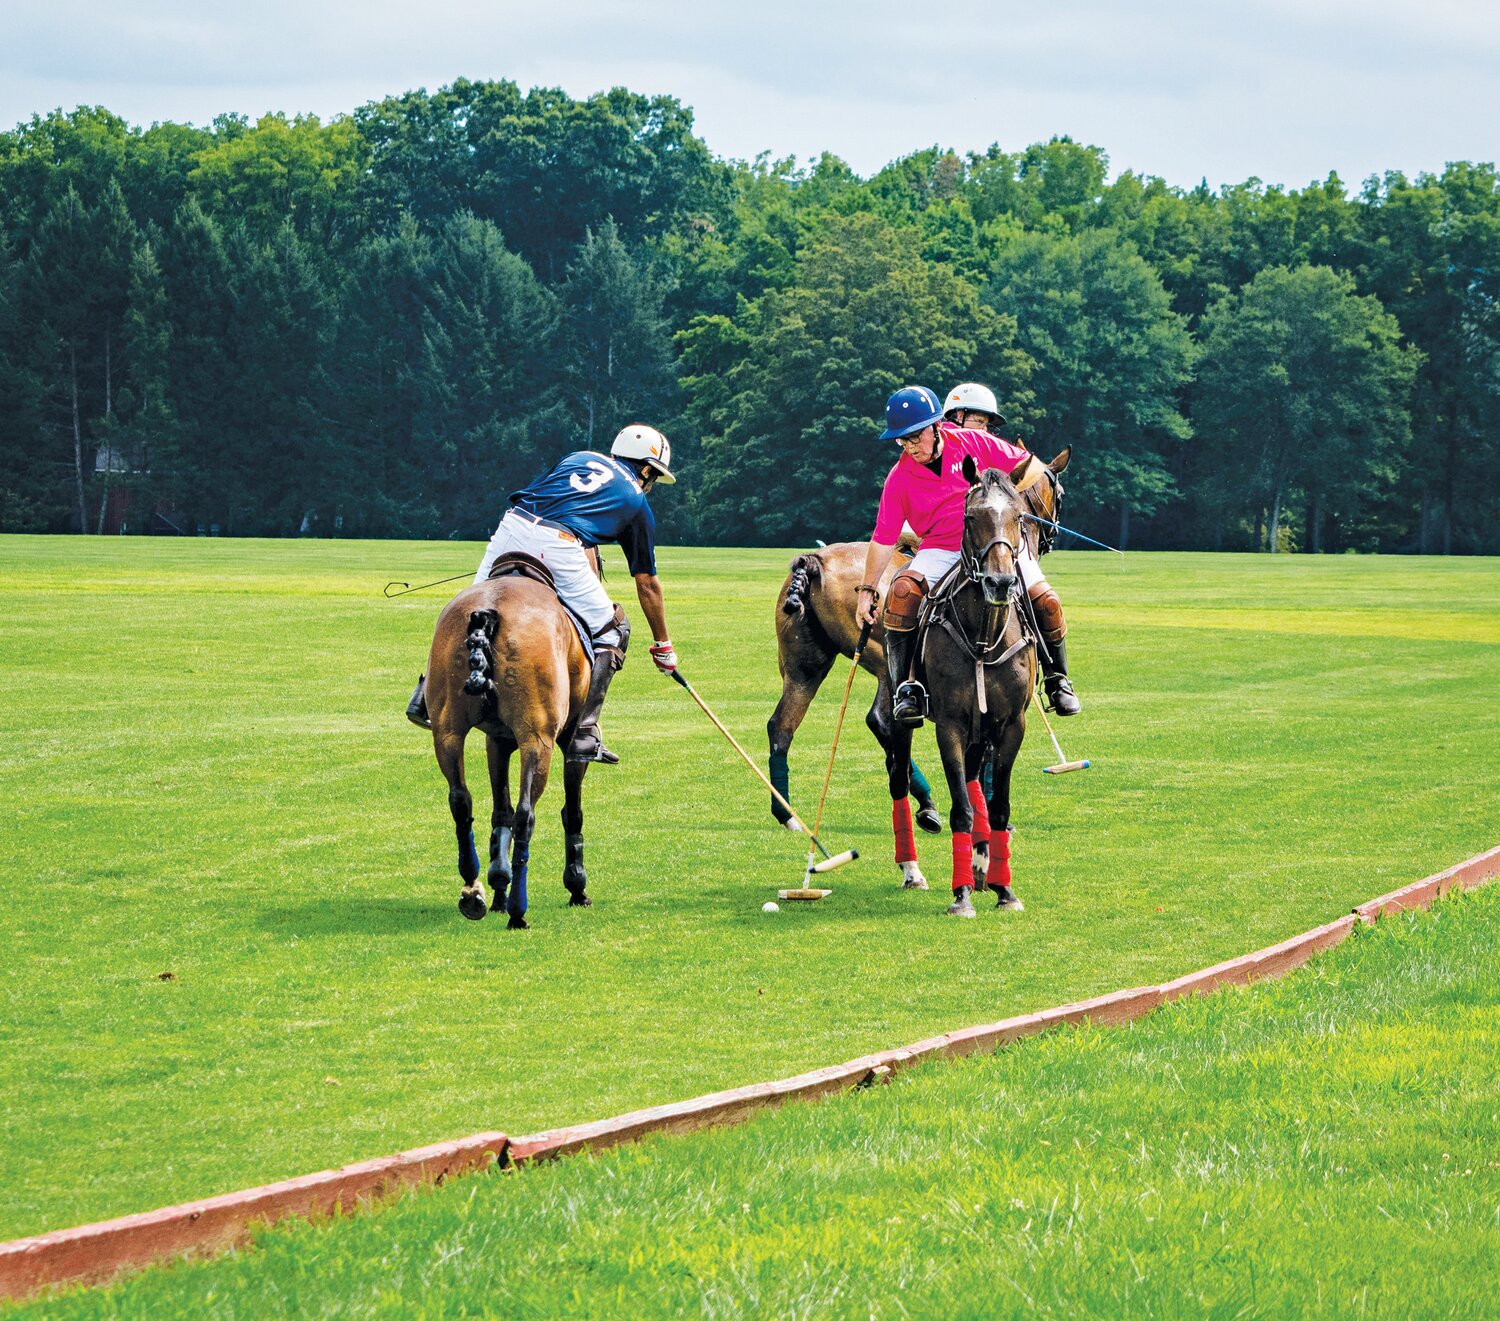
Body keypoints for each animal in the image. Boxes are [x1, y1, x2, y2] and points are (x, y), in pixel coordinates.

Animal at [426, 557, 594, 929]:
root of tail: (489, 613)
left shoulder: (497, 738)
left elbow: (498, 811)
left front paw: (498, 887)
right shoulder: (571, 736)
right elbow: (572, 811)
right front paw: (576, 887)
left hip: (446, 729)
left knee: (461, 801)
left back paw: (473, 889)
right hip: (537, 738)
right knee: (525, 814)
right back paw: (519, 910)